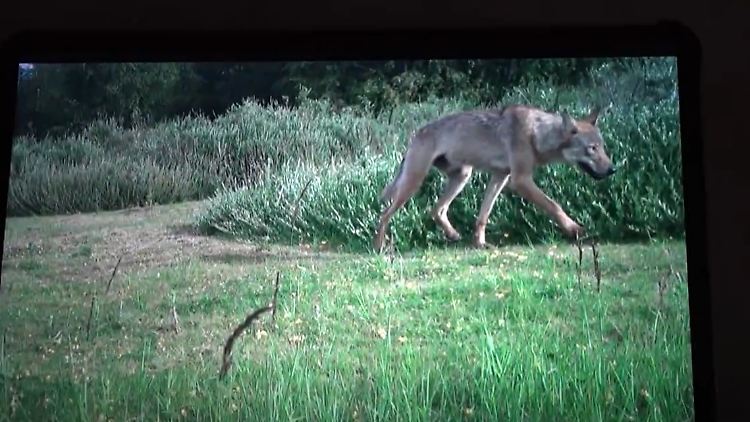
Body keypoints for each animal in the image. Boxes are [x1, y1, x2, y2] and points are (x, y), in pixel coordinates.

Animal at [374, 104, 616, 252]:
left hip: (463, 176)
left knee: (436, 210)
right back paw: (379, 247)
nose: (612, 169)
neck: (537, 134)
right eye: (591, 149)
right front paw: (576, 230)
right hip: (414, 183)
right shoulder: (520, 180)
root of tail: (416, 134)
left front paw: (480, 243)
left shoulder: (500, 176)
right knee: (384, 215)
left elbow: (483, 215)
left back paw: (453, 235)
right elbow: (554, 206)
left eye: (602, 147)